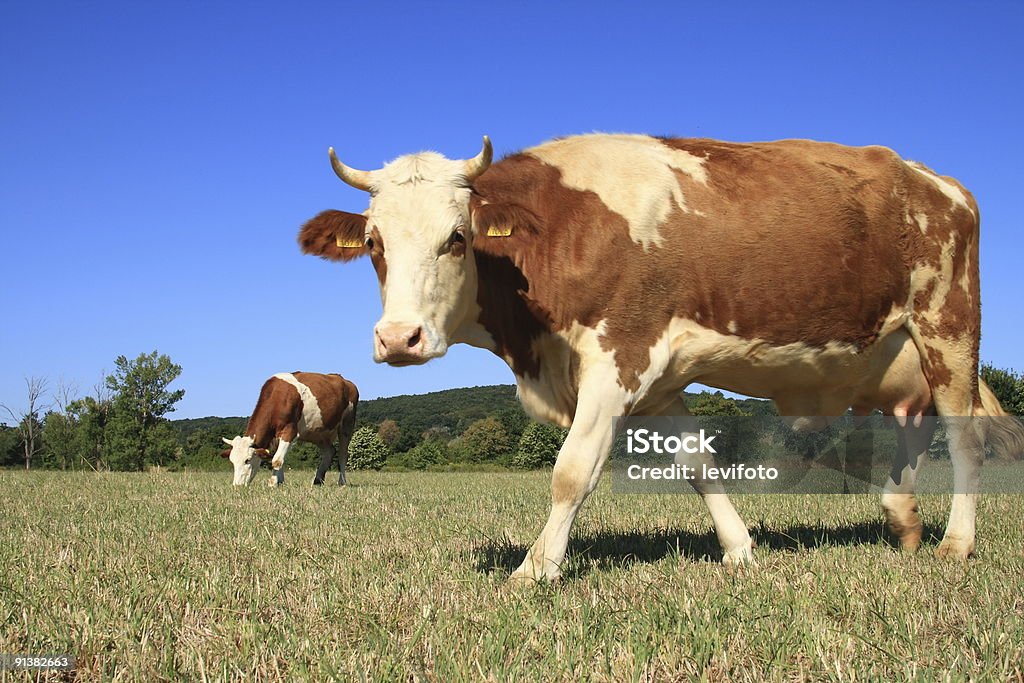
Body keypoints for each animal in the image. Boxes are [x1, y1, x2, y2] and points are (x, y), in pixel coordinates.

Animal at [219, 374, 356, 485]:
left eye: (247, 460)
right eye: (232, 461)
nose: (237, 486)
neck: (277, 398)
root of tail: (346, 381)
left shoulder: (290, 431)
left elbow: (277, 460)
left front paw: (273, 483)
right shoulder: (276, 436)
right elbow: (280, 458)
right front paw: (280, 481)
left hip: (347, 425)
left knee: (342, 455)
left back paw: (342, 482)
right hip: (319, 433)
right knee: (329, 452)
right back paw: (317, 480)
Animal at [296, 135, 1024, 581]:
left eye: (456, 237)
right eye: (372, 241)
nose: (399, 338)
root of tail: (934, 179)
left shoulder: (621, 355)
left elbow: (573, 472)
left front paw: (534, 568)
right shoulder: (661, 381)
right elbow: (698, 466)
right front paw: (740, 550)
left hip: (947, 326)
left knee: (964, 441)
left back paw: (956, 543)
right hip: (903, 354)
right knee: (912, 424)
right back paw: (902, 518)